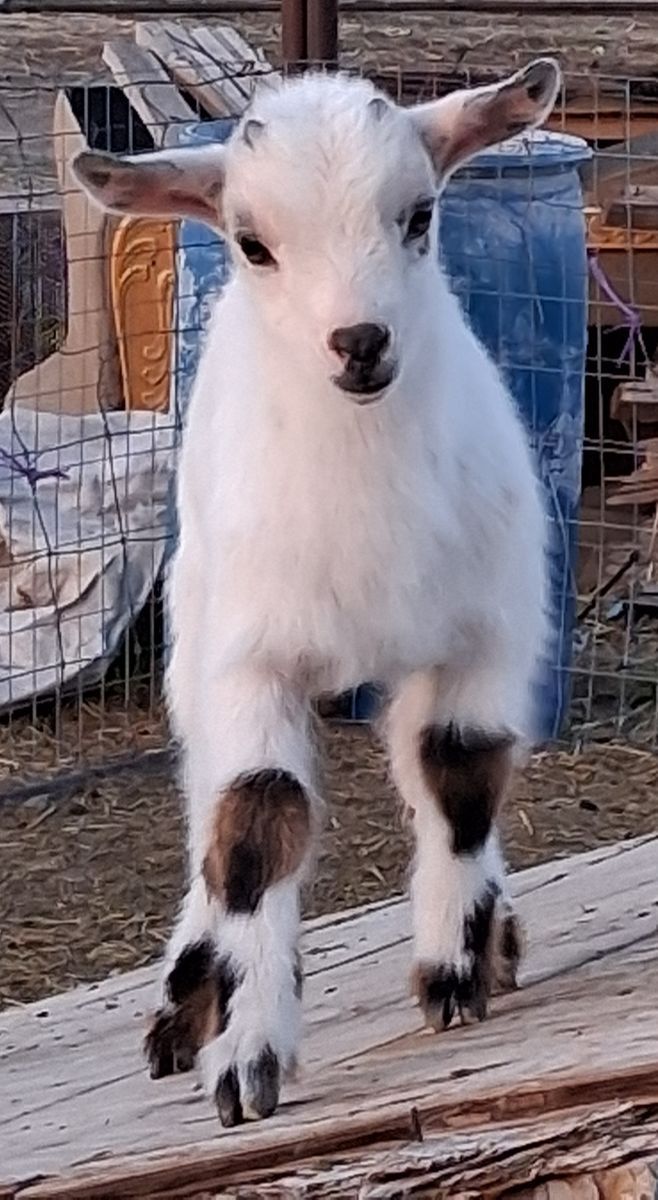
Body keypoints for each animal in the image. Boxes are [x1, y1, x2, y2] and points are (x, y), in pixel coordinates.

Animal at [72, 59, 559, 1127]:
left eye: (421, 215)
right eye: (251, 243)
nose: (360, 342)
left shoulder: (485, 638)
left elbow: (459, 777)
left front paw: (454, 966)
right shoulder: (249, 663)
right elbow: (255, 824)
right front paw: (244, 1057)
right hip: (194, 633)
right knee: (209, 807)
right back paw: (190, 994)